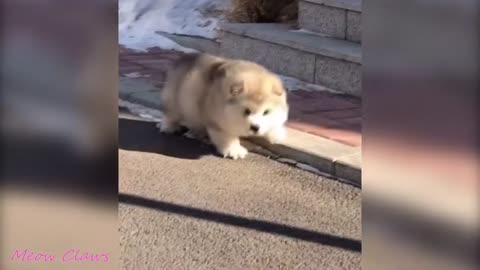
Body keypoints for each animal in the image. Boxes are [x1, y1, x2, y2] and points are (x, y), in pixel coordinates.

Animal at [160, 53, 288, 159]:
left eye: (266, 112)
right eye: (246, 111)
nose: (255, 127)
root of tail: (184, 58)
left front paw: (276, 134)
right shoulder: (218, 122)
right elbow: (228, 138)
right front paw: (235, 151)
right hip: (174, 100)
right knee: (171, 115)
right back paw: (169, 128)